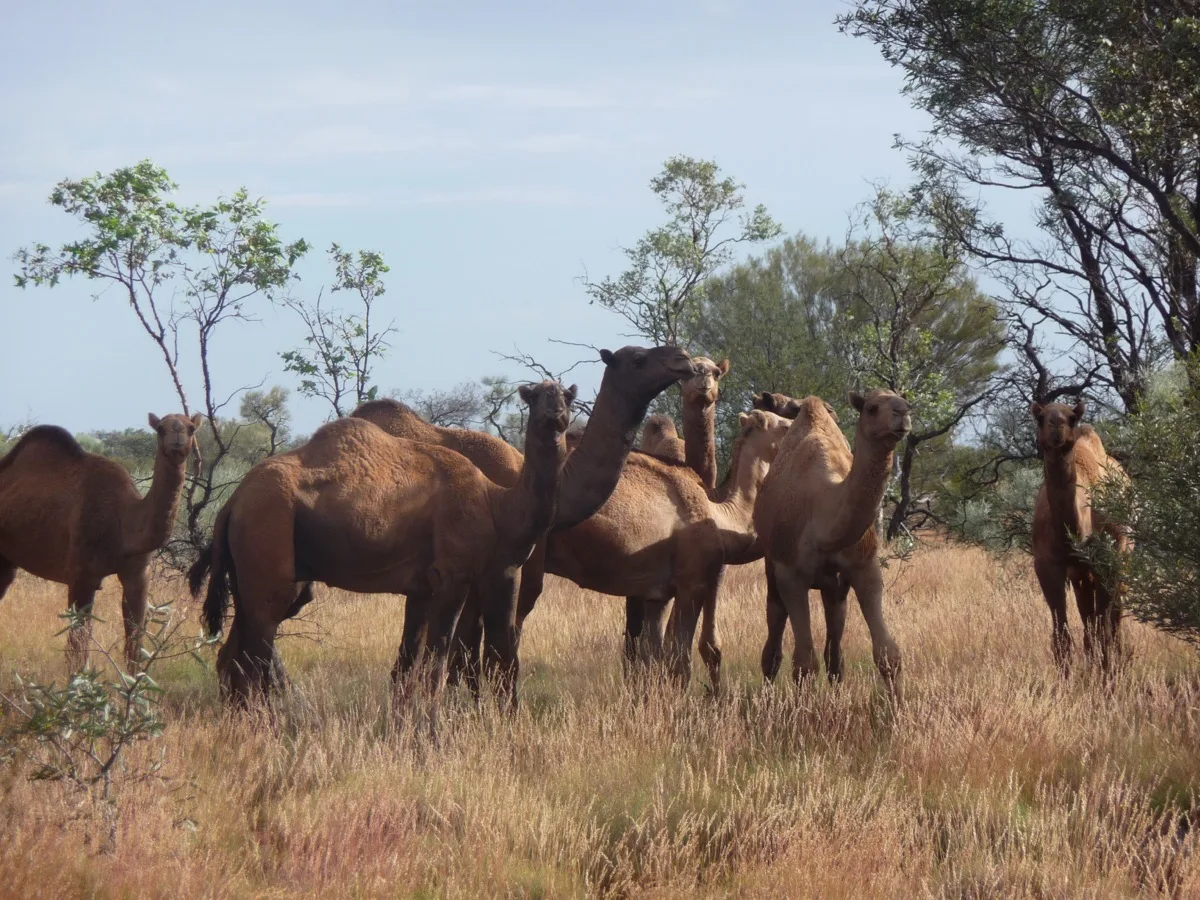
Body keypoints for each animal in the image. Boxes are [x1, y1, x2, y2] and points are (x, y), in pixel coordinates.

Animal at [0, 413, 200, 670]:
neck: (124, 521)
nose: (177, 437)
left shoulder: (138, 573)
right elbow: (77, 647)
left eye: (192, 427)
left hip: (7, 561)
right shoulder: (81, 575)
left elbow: (134, 642)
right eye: (160, 428)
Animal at [194, 381, 575, 714]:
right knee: (254, 659)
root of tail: (233, 503)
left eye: (566, 396)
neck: (495, 504)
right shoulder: (455, 574)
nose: (556, 417)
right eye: (535, 396)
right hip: (268, 541)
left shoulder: (438, 585)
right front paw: (436, 733)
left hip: (250, 574)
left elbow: (412, 667)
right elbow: (442, 665)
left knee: (233, 655)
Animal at [518, 409, 792, 691]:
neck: (720, 515)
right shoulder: (691, 585)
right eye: (784, 426)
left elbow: (651, 658)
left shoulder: (655, 595)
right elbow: (679, 663)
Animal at [754, 390, 911, 692]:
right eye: (872, 408)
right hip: (771, 564)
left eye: (907, 404)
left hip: (833, 587)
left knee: (835, 647)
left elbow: (889, 653)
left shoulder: (865, 567)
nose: (903, 413)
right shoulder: (790, 575)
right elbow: (804, 664)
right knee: (774, 634)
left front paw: (898, 705)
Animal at [1030, 400, 1130, 673]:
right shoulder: (1047, 565)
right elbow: (1061, 635)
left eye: (1072, 417)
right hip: (1080, 574)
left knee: (1113, 616)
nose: (1056, 423)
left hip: (1124, 557)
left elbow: (1104, 626)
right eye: (1040, 417)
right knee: (1089, 619)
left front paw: (1107, 677)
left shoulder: (1106, 561)